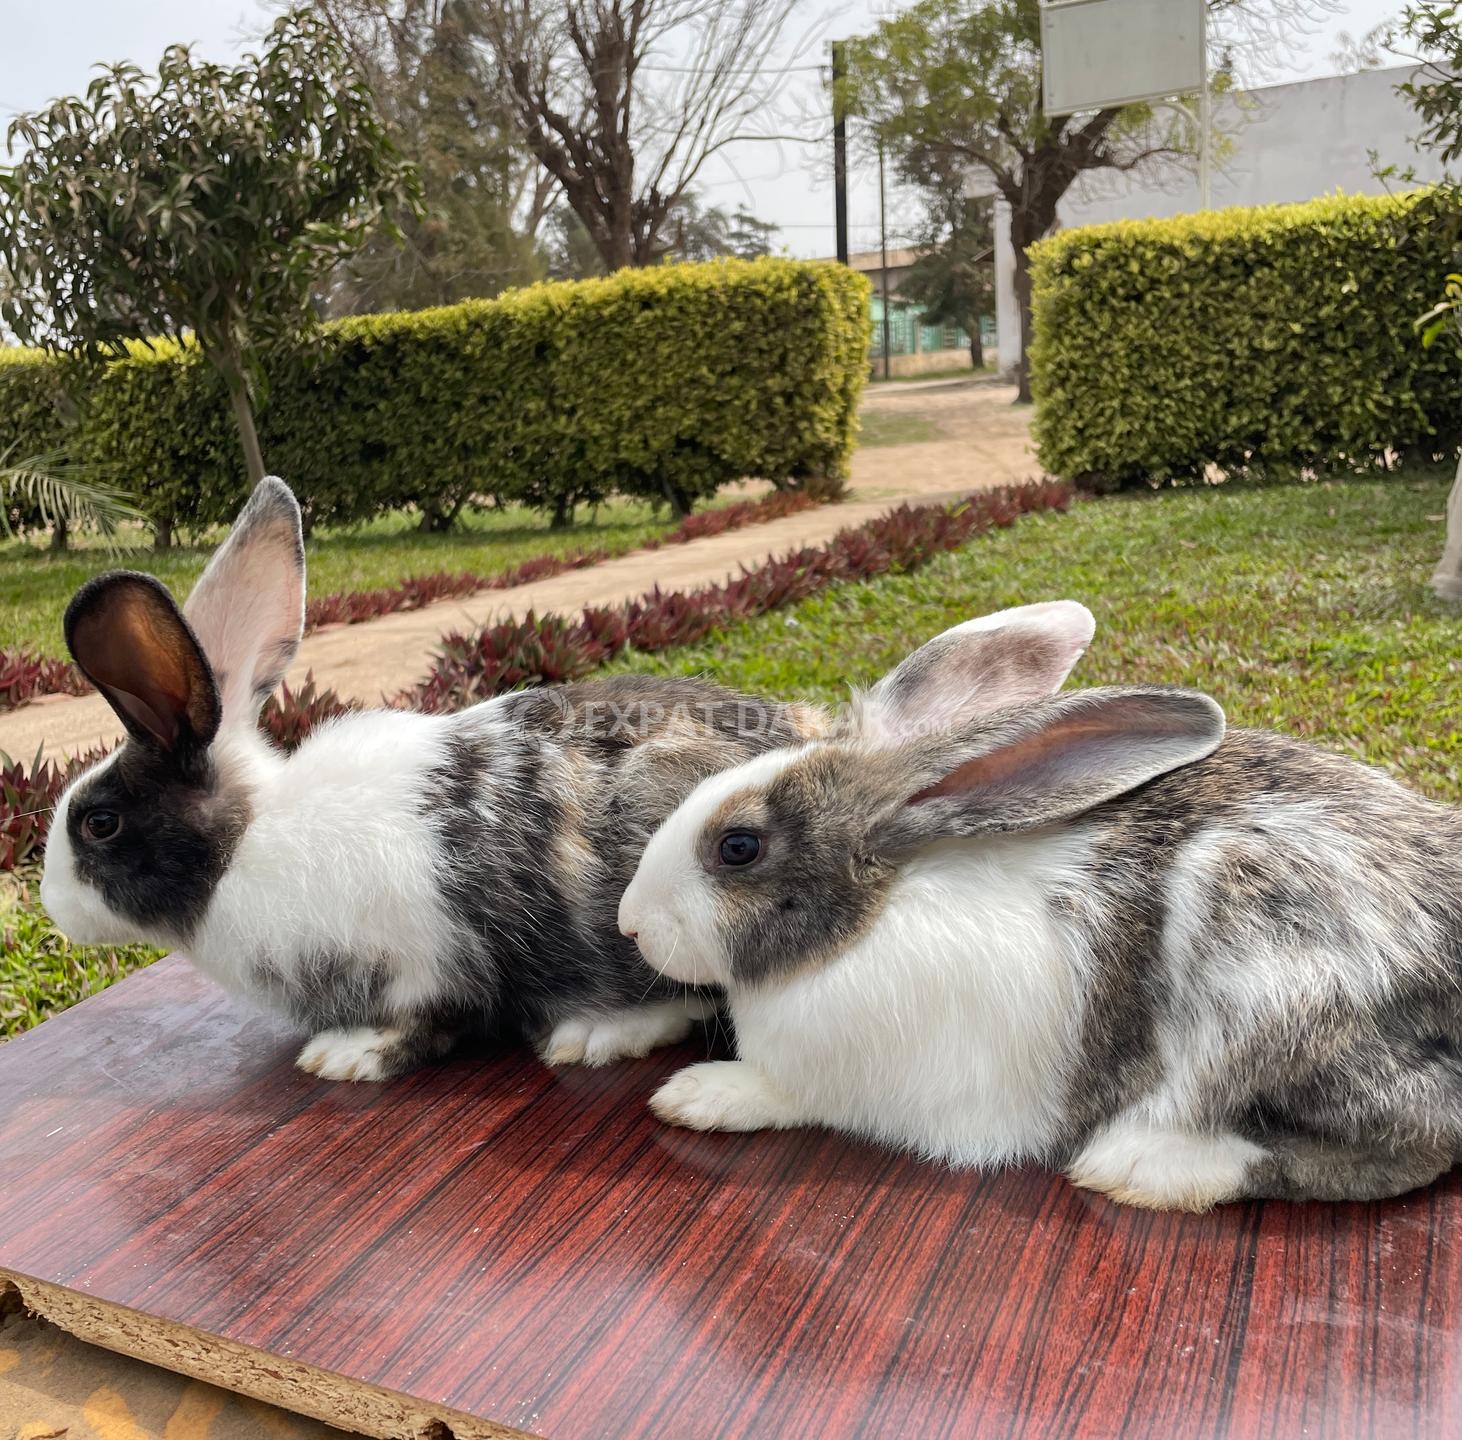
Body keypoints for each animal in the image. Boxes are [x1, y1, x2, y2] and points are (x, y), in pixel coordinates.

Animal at [40, 475, 853, 1082]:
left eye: (98, 822)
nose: (53, 906)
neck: (246, 842)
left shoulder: (425, 964)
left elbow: (432, 1021)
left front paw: (346, 1056)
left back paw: (595, 1034)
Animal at [619, 602, 1462, 1211]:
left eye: (739, 847)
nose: (630, 923)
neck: (874, 913)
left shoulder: (835, 1082)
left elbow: (776, 1092)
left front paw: (697, 1094)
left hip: (1262, 976)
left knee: (1417, 1136)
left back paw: (1143, 1166)